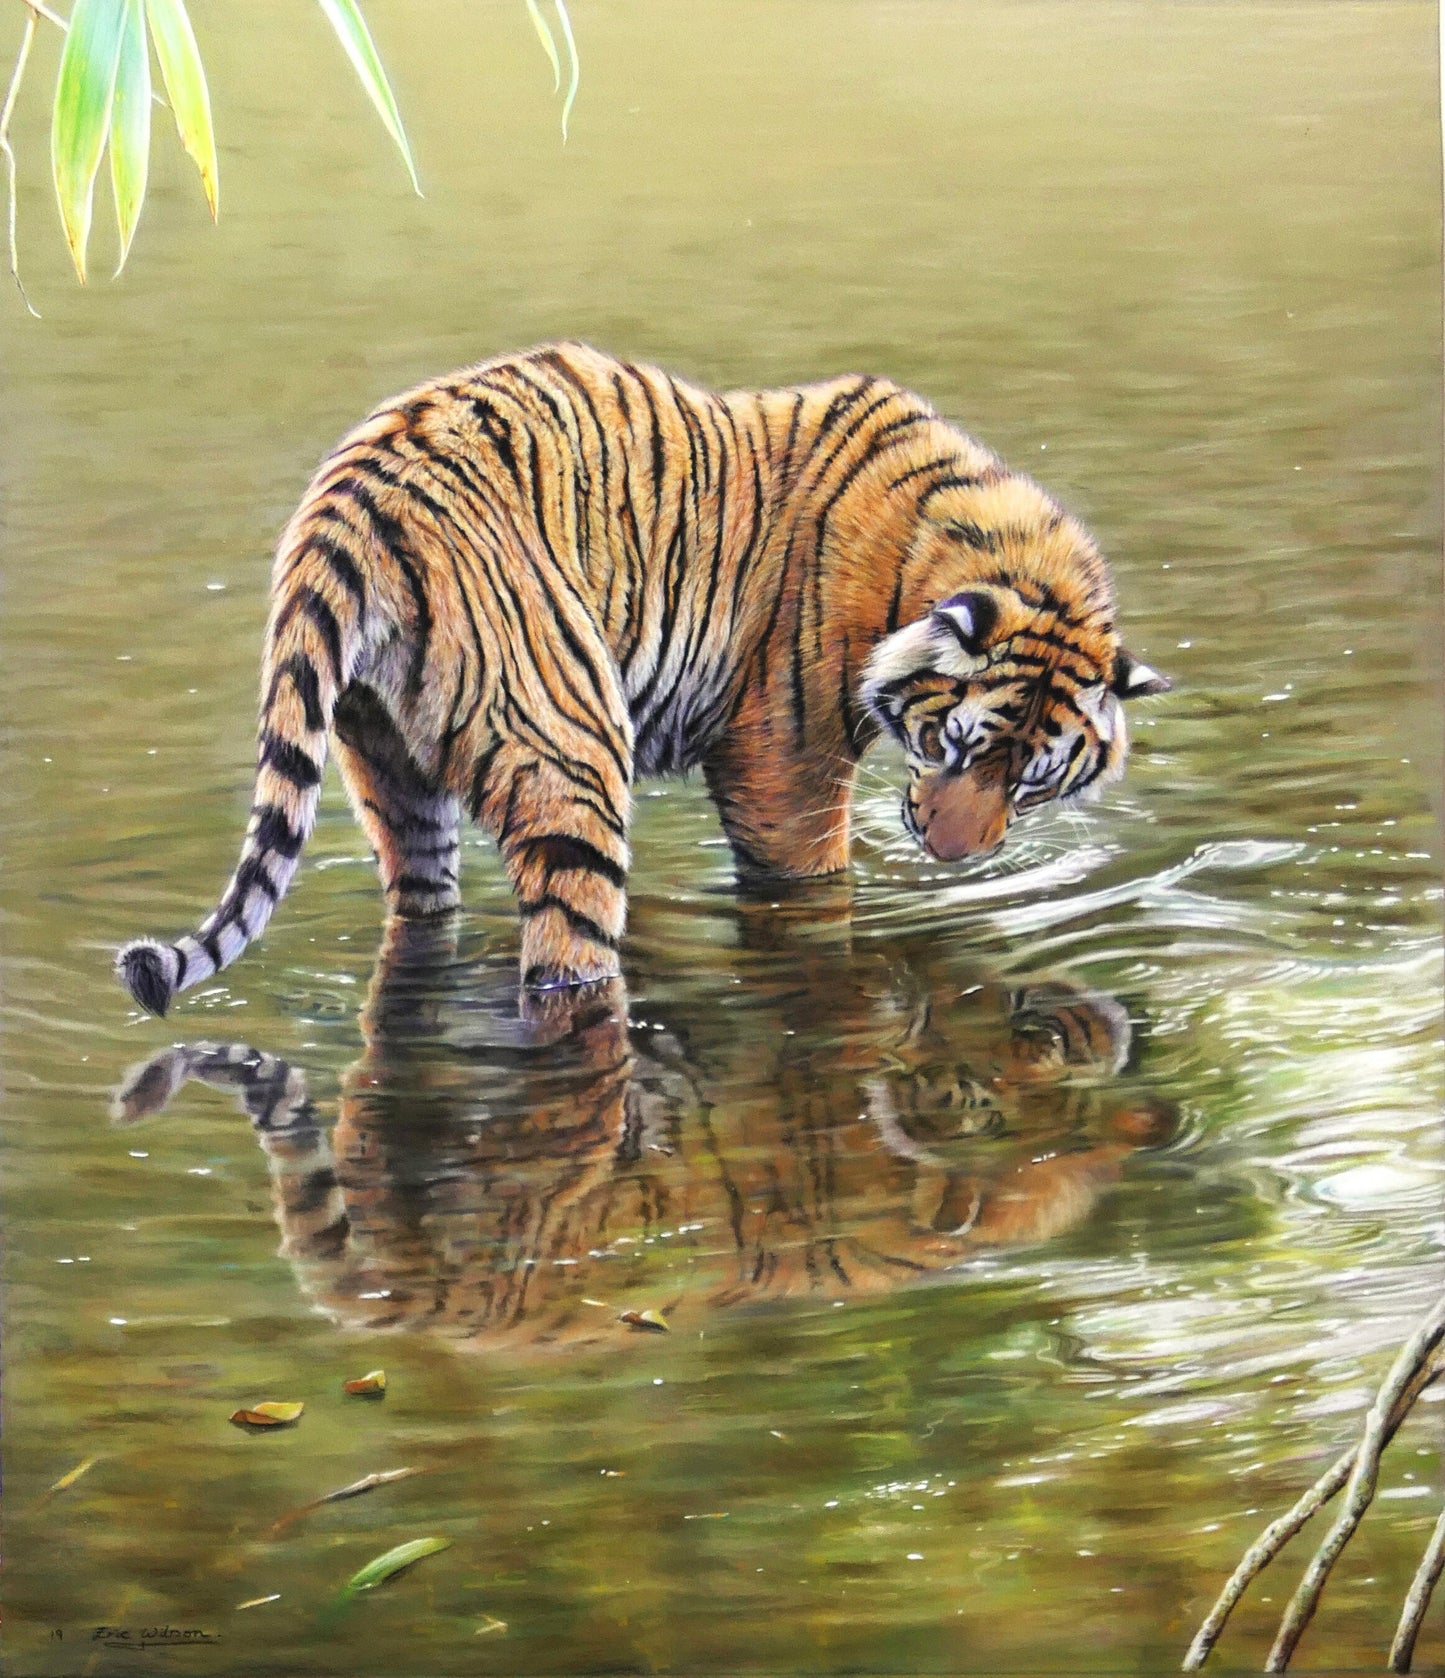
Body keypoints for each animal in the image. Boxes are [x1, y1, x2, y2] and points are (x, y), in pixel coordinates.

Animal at [114, 342, 1169, 1015]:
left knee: (418, 901)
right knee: (564, 946)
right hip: (569, 752)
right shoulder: (783, 766)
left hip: (391, 766)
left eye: (1028, 782)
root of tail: (355, 493)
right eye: (951, 745)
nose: (954, 859)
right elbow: (811, 885)